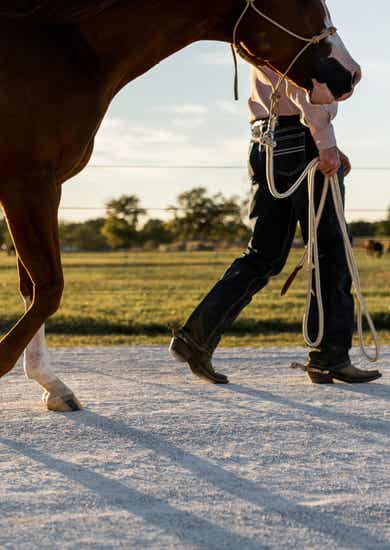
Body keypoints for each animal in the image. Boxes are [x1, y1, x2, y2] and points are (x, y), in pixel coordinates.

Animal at [0, 0, 362, 412]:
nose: (351, 74)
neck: (65, 49)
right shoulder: (29, 185)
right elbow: (47, 289)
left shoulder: (39, 189)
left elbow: (33, 290)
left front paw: (52, 385)